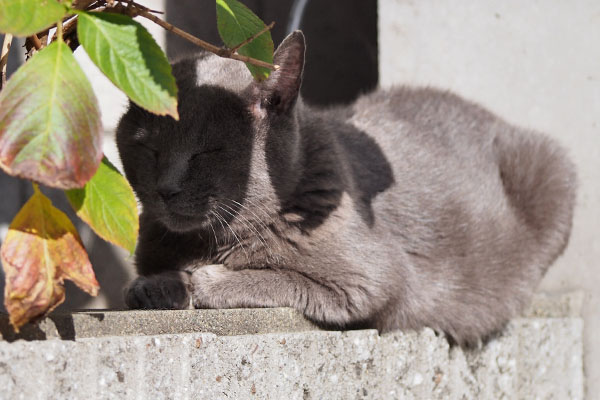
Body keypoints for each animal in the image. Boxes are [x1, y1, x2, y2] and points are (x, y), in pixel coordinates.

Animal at [115, 31, 576, 346]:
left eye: (207, 152)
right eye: (148, 147)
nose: (166, 188)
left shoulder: (369, 279)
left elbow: (275, 278)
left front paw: (203, 281)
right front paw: (154, 286)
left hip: (554, 166)